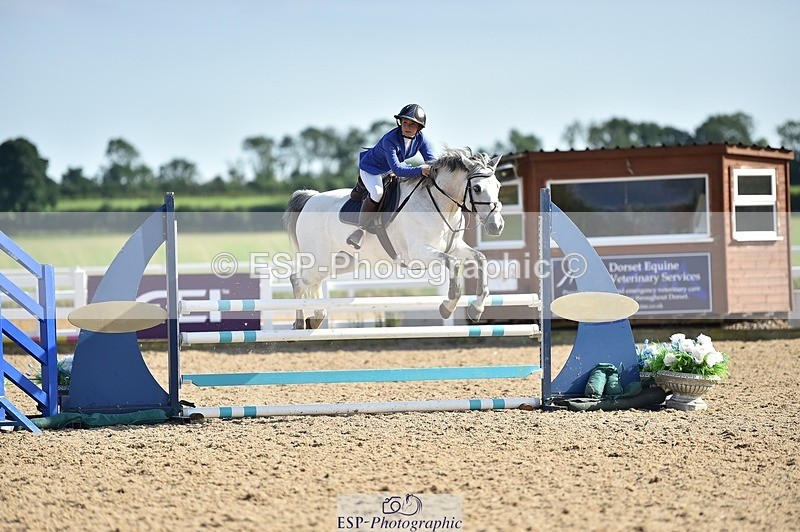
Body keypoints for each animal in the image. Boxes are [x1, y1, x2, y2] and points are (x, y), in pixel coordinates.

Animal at [282, 147, 505, 329]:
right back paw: (300, 322)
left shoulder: (455, 246)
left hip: (341, 262)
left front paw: (476, 309)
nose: (497, 226)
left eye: (498, 186)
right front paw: (447, 307)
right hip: (320, 260)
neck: (441, 205)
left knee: (310, 283)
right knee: (297, 280)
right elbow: (454, 264)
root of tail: (310, 198)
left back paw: (315, 318)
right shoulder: (419, 254)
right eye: (477, 188)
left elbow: (480, 258)